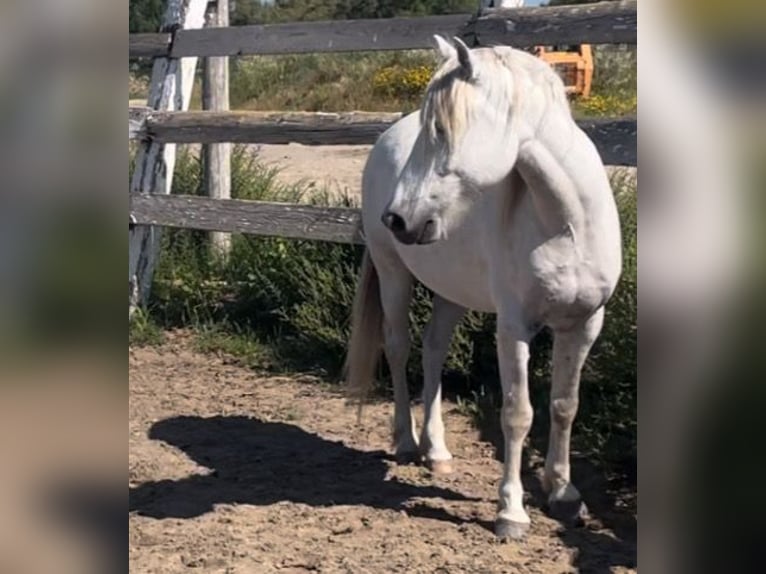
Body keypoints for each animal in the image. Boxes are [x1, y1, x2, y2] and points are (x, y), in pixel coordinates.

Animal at [348, 38, 624, 544]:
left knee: (433, 348)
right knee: (398, 348)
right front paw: (511, 513)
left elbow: (564, 406)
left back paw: (436, 451)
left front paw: (564, 494)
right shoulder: (514, 328)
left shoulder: (584, 323)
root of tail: (384, 139)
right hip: (393, 273)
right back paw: (405, 441)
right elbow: (518, 413)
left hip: (452, 292)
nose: (398, 218)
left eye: (440, 128)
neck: (568, 224)